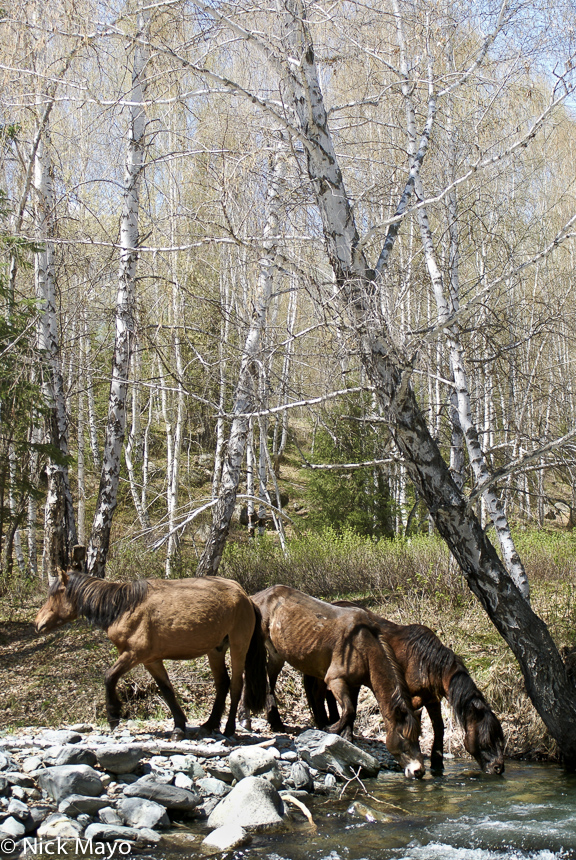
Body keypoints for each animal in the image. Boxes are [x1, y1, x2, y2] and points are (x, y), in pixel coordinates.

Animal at [35, 572, 268, 740]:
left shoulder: (133, 655)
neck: (125, 607)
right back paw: (210, 725)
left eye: (55, 594)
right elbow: (167, 690)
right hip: (215, 650)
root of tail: (244, 596)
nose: (38, 623)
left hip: (238, 646)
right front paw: (179, 726)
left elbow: (109, 677)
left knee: (236, 685)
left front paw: (114, 714)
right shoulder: (150, 661)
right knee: (222, 684)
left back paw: (229, 728)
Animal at [238, 584, 424, 780]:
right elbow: (348, 710)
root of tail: (255, 597)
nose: (418, 771)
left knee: (270, 682)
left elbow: (351, 710)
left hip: (277, 654)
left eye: (418, 736)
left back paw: (276, 723)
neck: (363, 645)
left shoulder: (354, 684)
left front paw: (346, 737)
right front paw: (331, 730)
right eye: (403, 736)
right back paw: (245, 720)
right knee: (247, 677)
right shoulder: (335, 680)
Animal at [306, 600, 504, 776]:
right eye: (486, 739)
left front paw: (437, 764)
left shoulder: (432, 700)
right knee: (323, 695)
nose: (499, 769)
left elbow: (439, 727)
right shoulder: (410, 700)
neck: (425, 664)